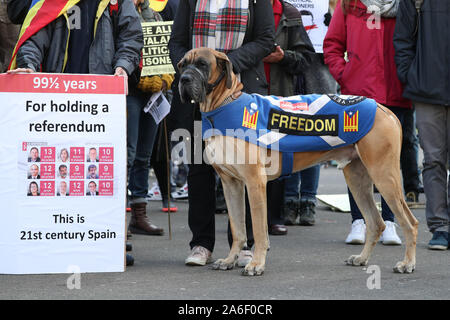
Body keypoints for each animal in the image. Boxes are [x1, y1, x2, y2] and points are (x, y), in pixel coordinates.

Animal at [177, 47, 418, 276]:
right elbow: (238, 229)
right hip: (357, 179)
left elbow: (259, 230)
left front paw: (256, 264)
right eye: (181, 65)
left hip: (384, 176)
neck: (222, 105)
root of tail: (384, 109)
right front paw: (230, 260)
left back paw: (407, 263)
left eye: (202, 64)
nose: (184, 79)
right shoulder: (231, 184)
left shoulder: (255, 183)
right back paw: (362, 258)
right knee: (376, 222)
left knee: (410, 222)